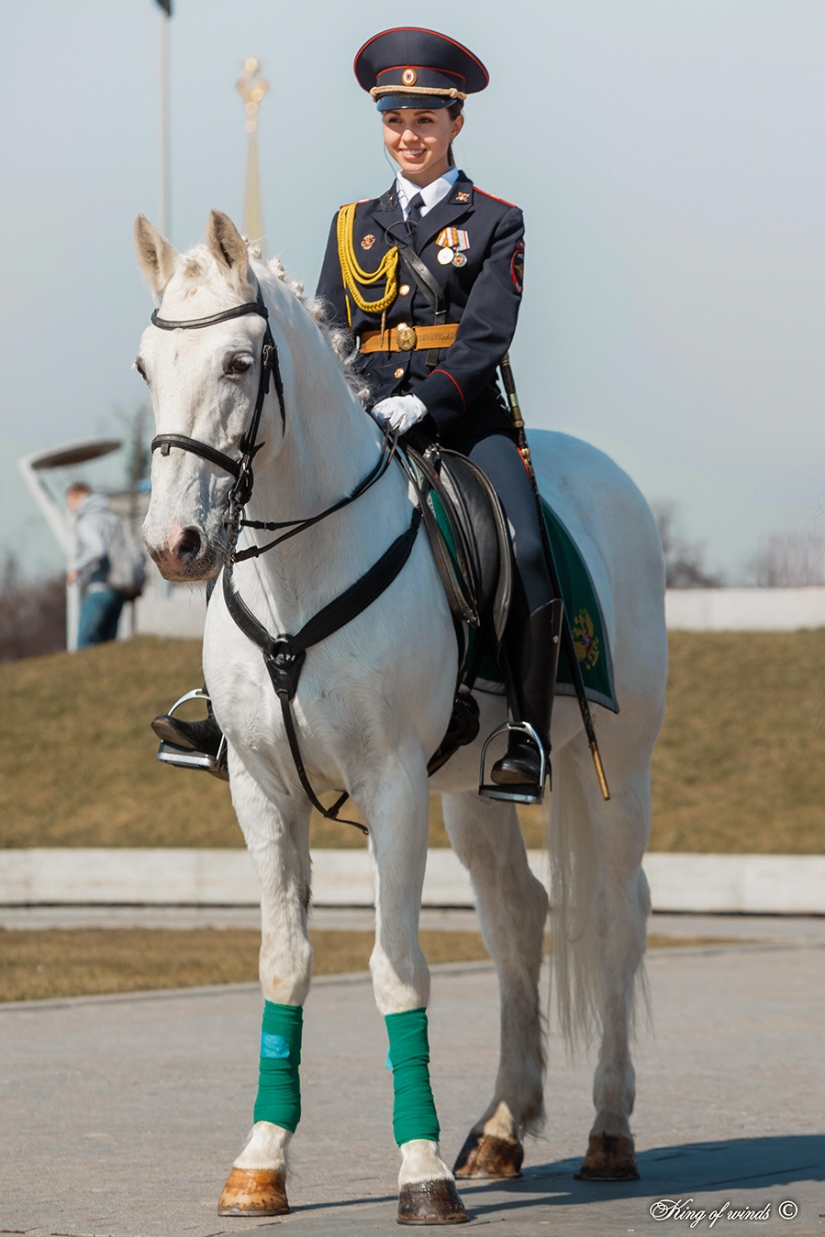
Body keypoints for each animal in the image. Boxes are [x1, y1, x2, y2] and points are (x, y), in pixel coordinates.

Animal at [134, 207, 662, 1222]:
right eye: (146, 366)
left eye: (237, 363)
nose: (173, 544)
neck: (300, 565)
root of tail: (602, 473)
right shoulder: (263, 789)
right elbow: (283, 961)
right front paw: (260, 1160)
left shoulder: (391, 786)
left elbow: (396, 966)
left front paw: (419, 1172)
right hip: (473, 787)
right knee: (519, 915)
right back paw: (501, 1127)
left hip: (614, 764)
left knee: (616, 916)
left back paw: (609, 1128)